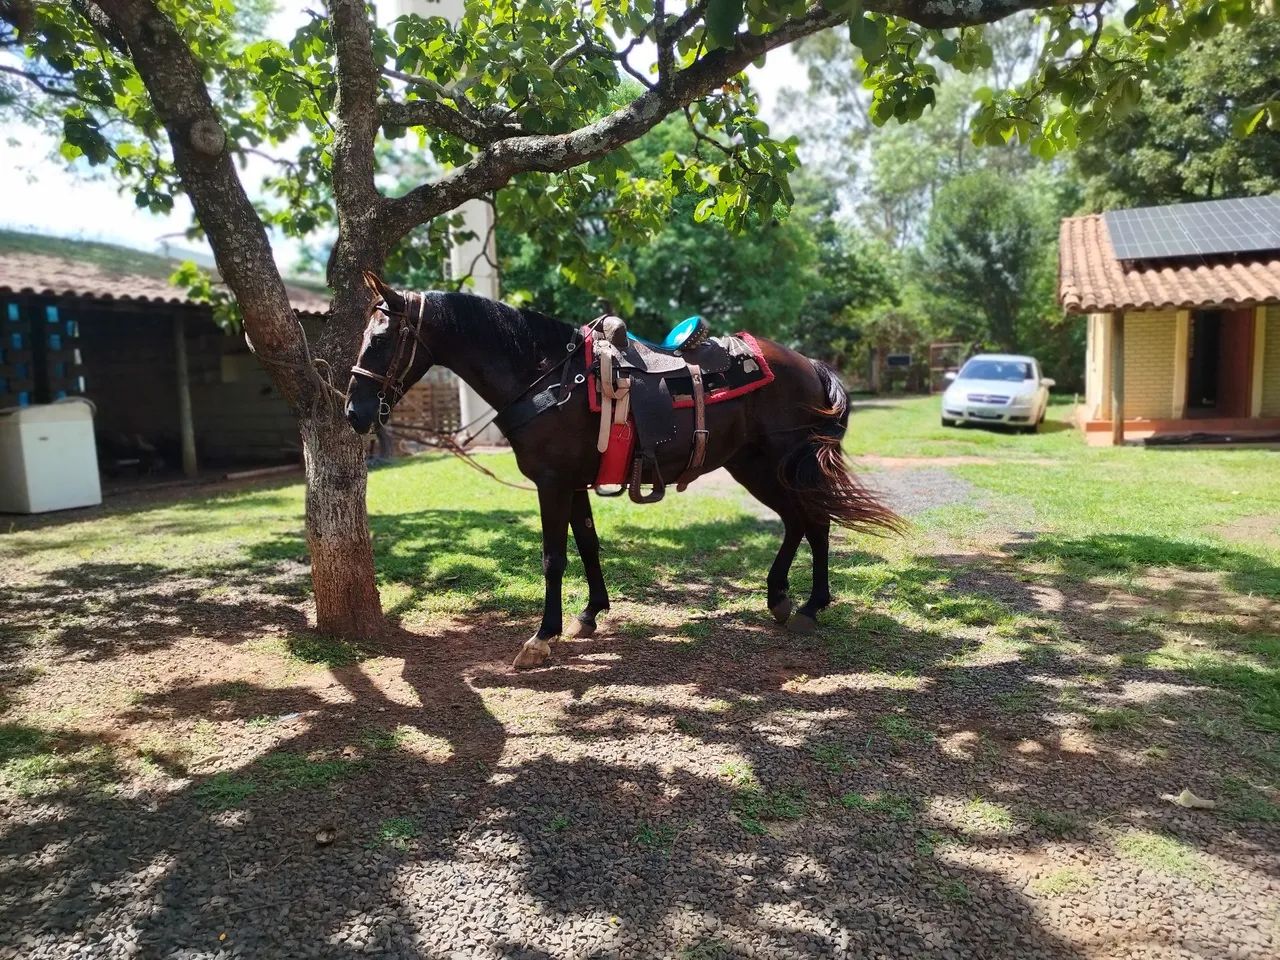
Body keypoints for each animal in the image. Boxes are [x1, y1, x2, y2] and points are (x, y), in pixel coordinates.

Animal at [345, 276, 900, 669]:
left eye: (381, 339)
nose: (354, 411)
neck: (546, 377)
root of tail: (810, 365)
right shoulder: (572, 483)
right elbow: (588, 543)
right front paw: (590, 615)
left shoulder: (552, 483)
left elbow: (552, 558)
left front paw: (541, 637)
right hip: (755, 466)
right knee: (800, 522)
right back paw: (785, 599)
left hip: (784, 464)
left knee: (814, 521)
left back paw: (808, 605)